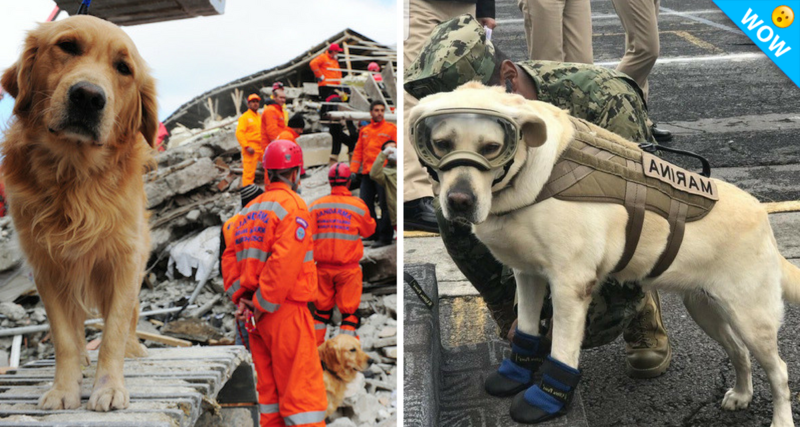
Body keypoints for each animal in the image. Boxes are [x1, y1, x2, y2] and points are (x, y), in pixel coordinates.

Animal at [0, 15, 156, 412]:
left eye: (123, 68)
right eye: (67, 46)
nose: (88, 96)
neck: (73, 177)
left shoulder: (124, 262)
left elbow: (114, 330)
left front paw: (109, 386)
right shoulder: (48, 267)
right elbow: (65, 338)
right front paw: (63, 389)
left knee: (130, 320)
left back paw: (134, 350)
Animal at [412, 82, 800, 426]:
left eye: (492, 147)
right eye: (441, 144)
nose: (459, 201)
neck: (532, 175)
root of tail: (763, 220)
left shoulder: (571, 286)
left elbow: (562, 350)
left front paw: (545, 401)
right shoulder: (529, 276)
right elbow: (526, 330)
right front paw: (514, 374)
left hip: (751, 318)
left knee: (778, 371)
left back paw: (780, 419)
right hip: (706, 308)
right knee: (739, 352)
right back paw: (742, 394)